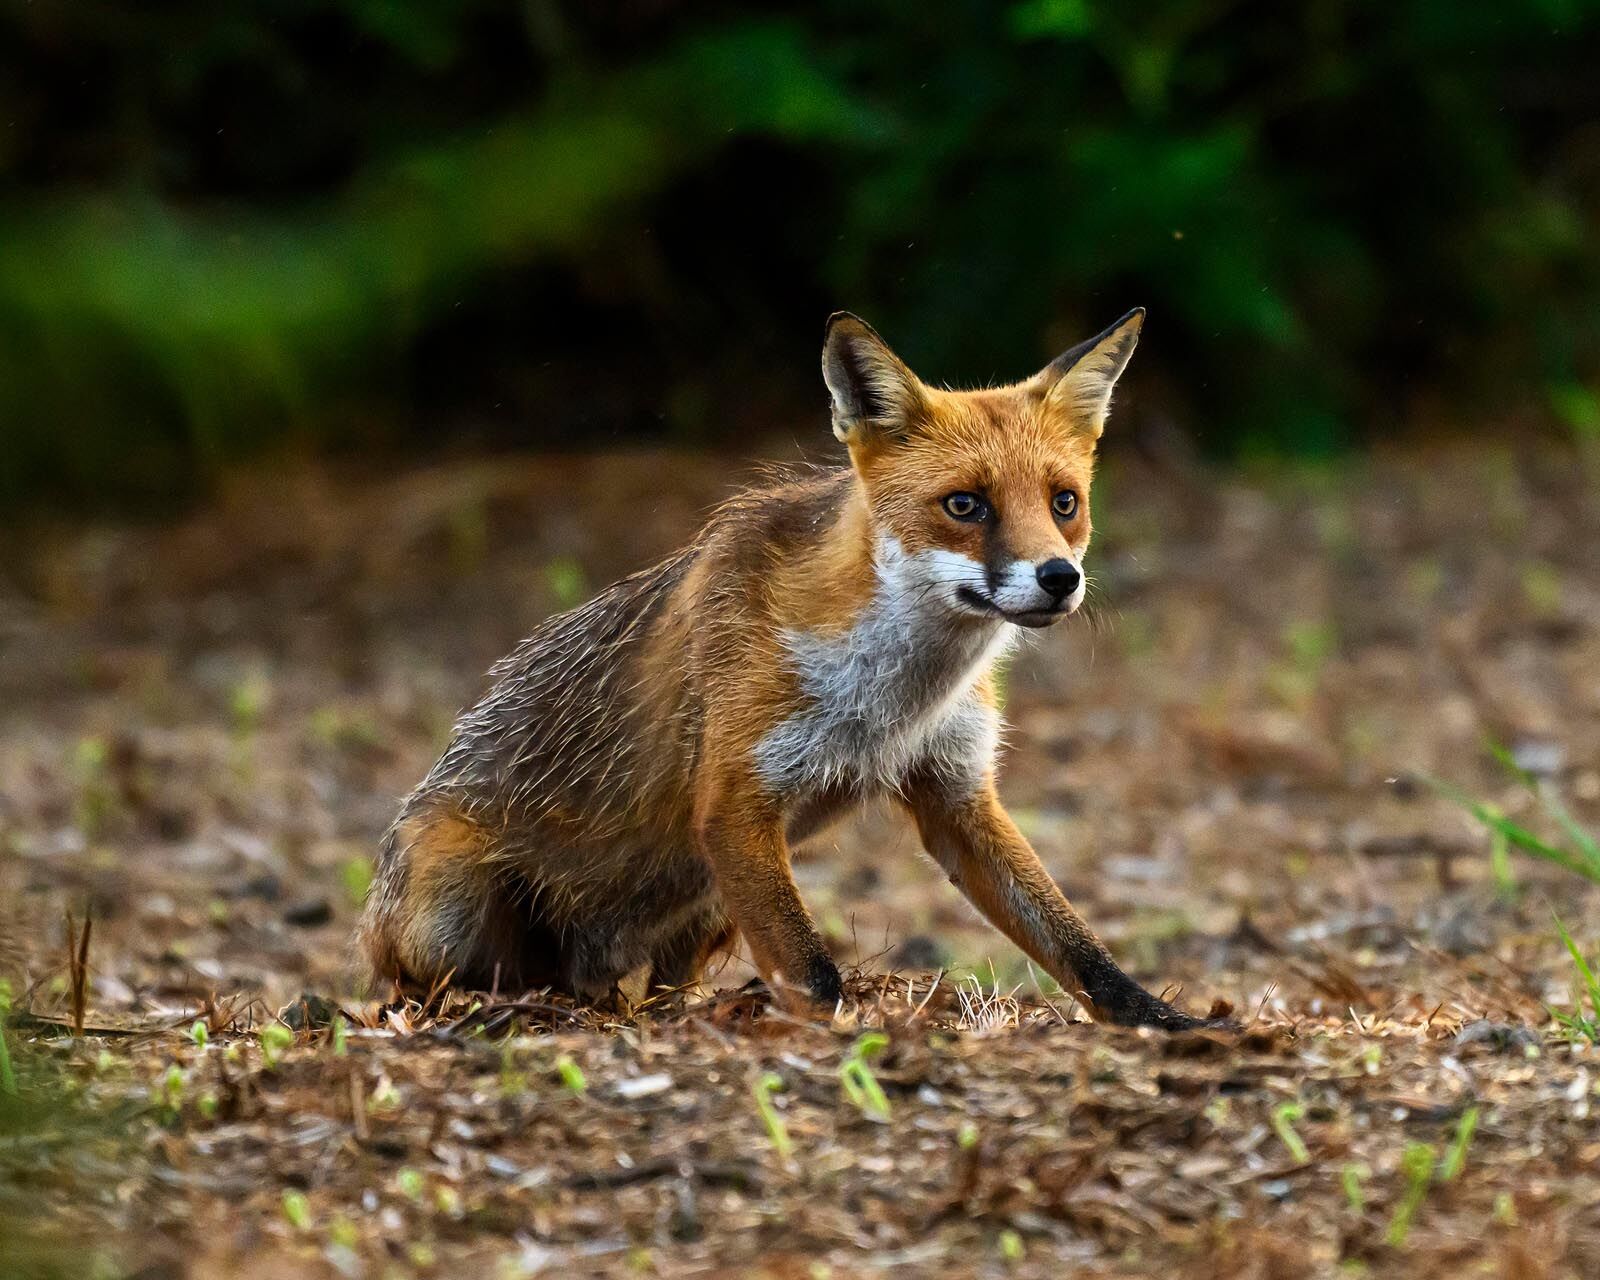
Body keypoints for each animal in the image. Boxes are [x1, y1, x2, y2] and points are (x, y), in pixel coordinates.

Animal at [360, 308, 1223, 1030]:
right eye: (965, 505)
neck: (890, 700)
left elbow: (1077, 945)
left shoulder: (956, 795)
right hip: (451, 911)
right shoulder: (735, 803)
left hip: (707, 902)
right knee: (424, 987)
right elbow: (814, 974)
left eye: (1063, 502)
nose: (1058, 577)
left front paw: (1167, 1022)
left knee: (649, 989)